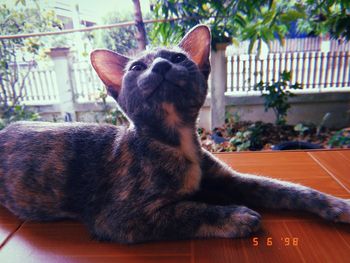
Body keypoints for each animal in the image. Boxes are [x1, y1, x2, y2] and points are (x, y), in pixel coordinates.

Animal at [0, 25, 350, 244]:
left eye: (179, 58)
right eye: (136, 68)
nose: (161, 66)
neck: (176, 140)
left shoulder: (228, 179)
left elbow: (286, 188)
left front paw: (336, 204)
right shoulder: (118, 219)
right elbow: (185, 211)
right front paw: (235, 215)